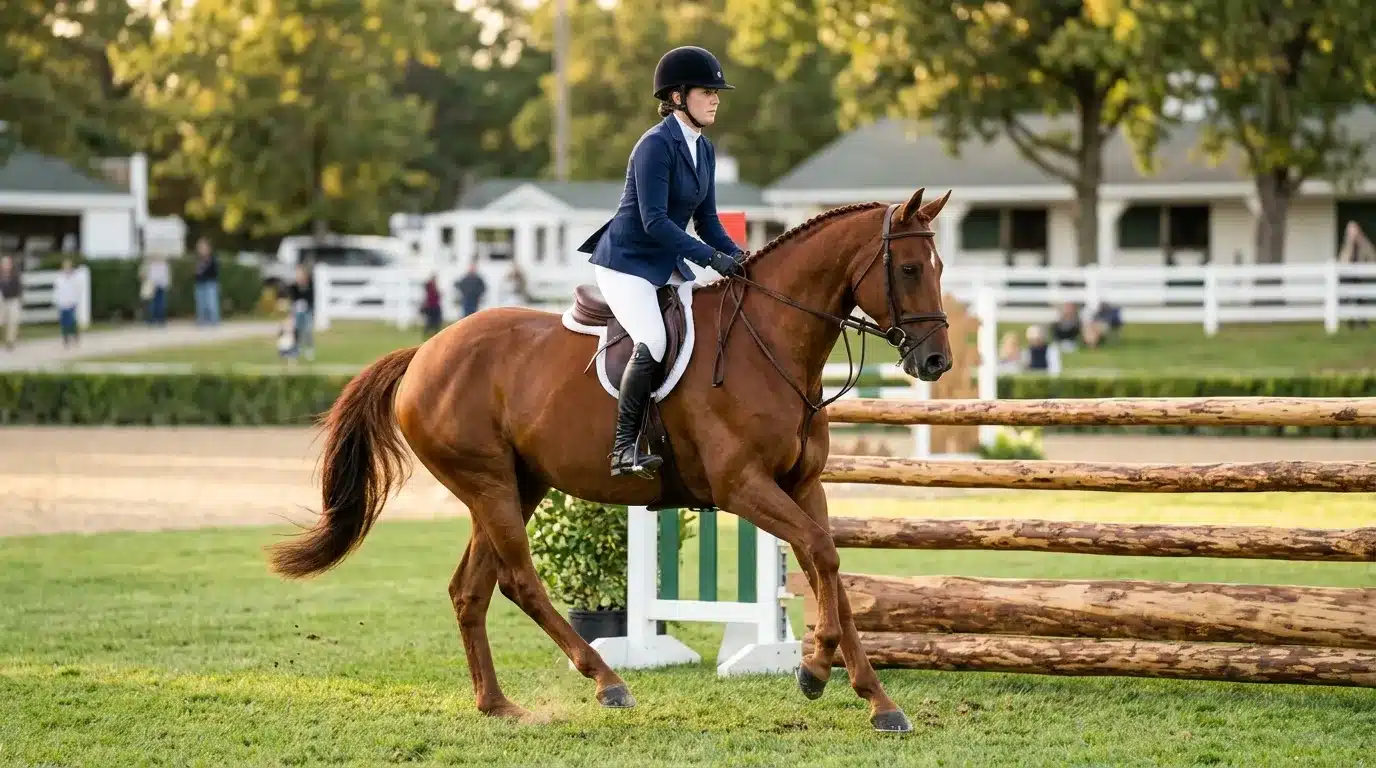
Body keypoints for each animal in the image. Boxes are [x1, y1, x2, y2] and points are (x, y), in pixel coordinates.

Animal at [266, 187, 956, 734]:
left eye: (940, 266)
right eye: (910, 268)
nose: (936, 362)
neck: (772, 342)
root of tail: (425, 352)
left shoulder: (804, 485)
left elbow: (828, 565)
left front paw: (874, 699)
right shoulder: (742, 487)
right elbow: (820, 555)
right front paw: (814, 670)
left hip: (516, 485)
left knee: (471, 588)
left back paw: (498, 705)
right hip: (488, 483)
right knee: (519, 581)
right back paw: (606, 680)